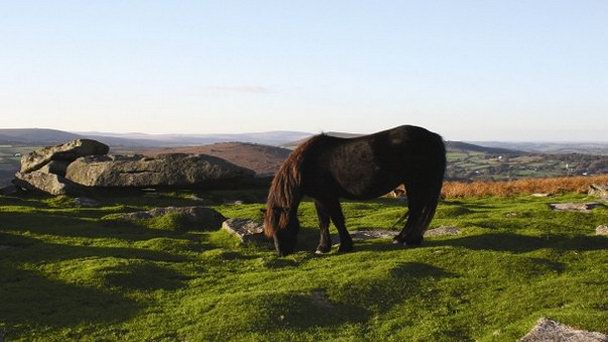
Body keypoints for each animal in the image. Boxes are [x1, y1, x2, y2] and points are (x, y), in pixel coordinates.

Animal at [262, 124, 446, 255]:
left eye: (281, 227)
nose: (282, 253)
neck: (306, 163)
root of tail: (434, 137)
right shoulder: (319, 197)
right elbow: (324, 221)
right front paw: (325, 247)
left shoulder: (327, 196)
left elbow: (335, 219)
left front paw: (341, 246)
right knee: (415, 210)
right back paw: (404, 238)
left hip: (415, 182)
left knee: (416, 209)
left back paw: (406, 239)